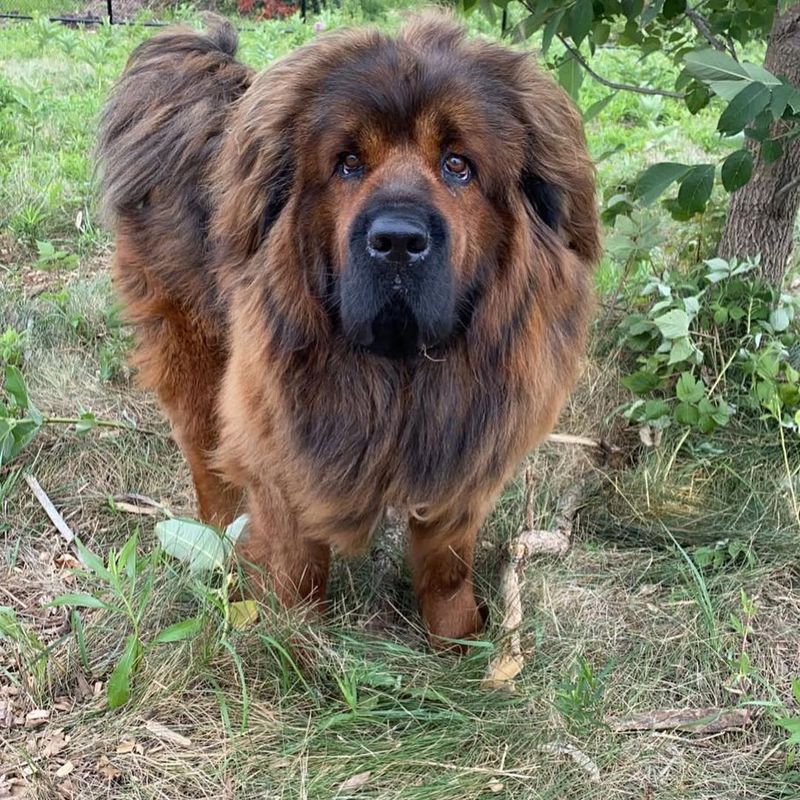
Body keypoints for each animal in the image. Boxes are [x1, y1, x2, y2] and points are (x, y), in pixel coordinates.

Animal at [97, 12, 596, 648]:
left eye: (458, 165)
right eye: (348, 164)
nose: (398, 241)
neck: (398, 368)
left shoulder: (464, 446)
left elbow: (447, 563)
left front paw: (459, 640)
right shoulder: (281, 447)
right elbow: (298, 559)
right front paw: (292, 635)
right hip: (191, 344)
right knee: (204, 453)